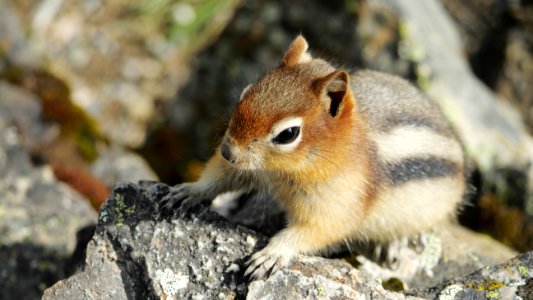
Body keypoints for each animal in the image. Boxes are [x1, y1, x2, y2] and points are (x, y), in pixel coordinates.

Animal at [160, 36, 464, 280]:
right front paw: (188, 191)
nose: (227, 151)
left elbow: (314, 231)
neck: (284, 172)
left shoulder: (336, 203)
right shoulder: (247, 169)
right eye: (246, 93)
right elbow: (219, 177)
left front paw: (272, 254)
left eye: (288, 134)